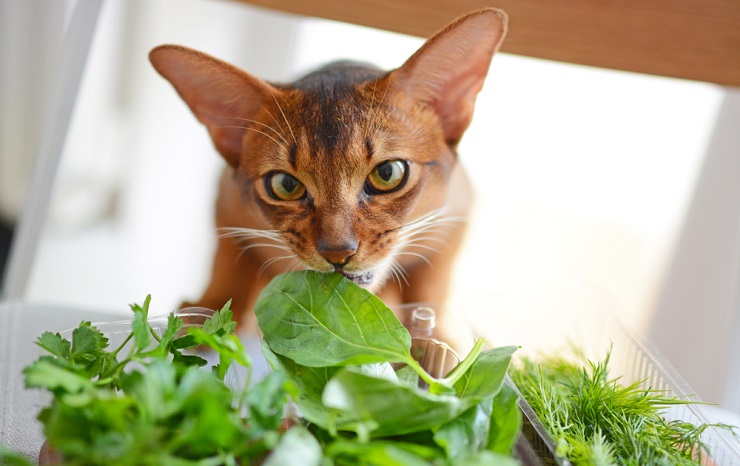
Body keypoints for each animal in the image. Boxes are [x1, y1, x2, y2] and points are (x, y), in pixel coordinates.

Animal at [150, 8, 508, 350]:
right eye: (286, 185)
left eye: (388, 174)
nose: (338, 254)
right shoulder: (226, 205)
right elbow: (229, 265)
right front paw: (208, 316)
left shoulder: (456, 215)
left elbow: (431, 283)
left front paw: (436, 337)